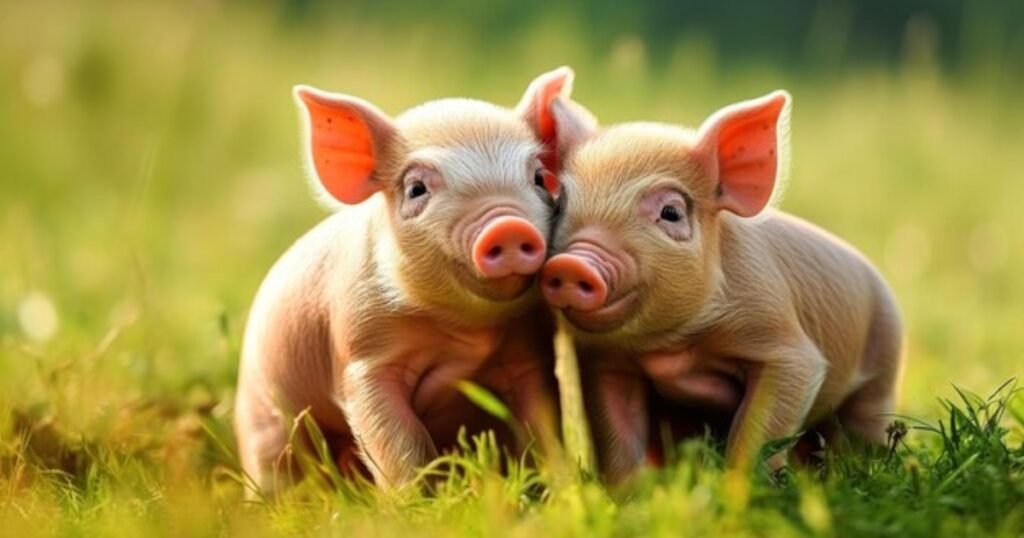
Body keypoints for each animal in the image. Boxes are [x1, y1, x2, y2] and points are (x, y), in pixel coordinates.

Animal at [234, 67, 586, 495]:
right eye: (416, 189)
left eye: (537, 177)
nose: (507, 225)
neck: (468, 328)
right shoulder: (362, 355)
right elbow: (400, 441)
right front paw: (418, 502)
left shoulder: (527, 356)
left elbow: (542, 424)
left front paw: (558, 488)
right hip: (264, 420)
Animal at [539, 91, 904, 485]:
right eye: (560, 205)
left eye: (671, 213)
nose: (572, 263)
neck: (672, 347)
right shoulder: (607, 362)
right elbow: (617, 435)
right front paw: (633, 494)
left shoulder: (780, 336)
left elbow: (763, 421)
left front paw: (743, 487)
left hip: (881, 369)